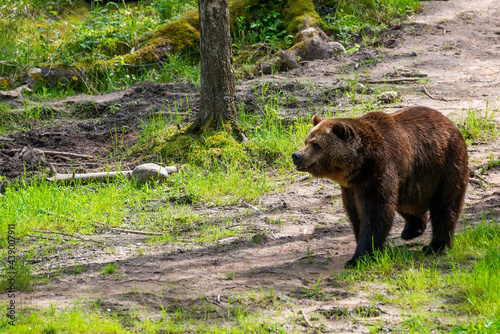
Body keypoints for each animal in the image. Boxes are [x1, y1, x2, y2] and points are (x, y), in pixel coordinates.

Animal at [292, 105, 468, 268]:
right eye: (306, 141)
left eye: (316, 145)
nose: (296, 155)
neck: (361, 164)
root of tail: (449, 122)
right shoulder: (352, 187)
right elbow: (356, 214)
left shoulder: (379, 170)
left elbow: (376, 214)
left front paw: (358, 258)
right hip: (410, 181)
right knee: (407, 205)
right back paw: (411, 230)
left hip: (446, 164)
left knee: (445, 206)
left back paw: (437, 246)